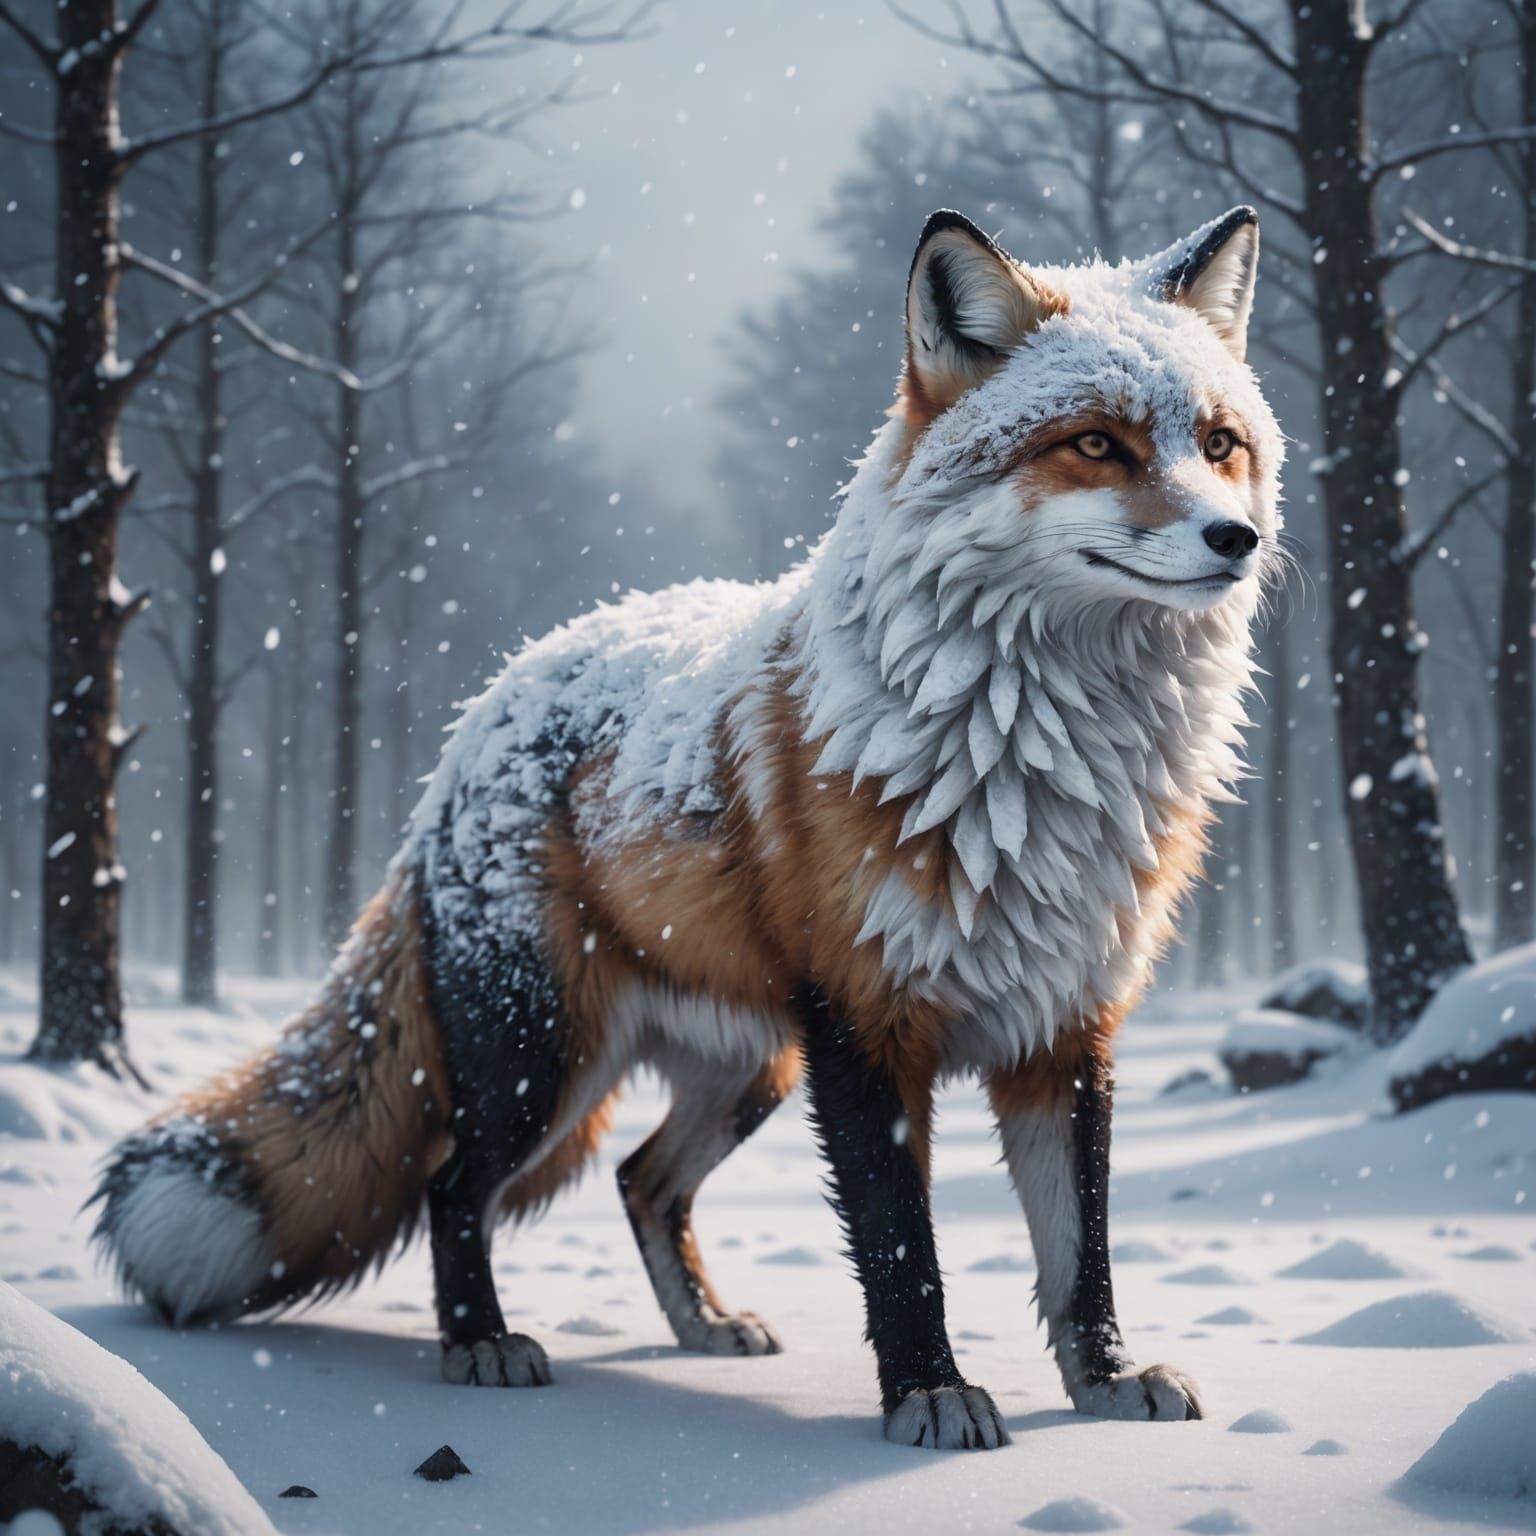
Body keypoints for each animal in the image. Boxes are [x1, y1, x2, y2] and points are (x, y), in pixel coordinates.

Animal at [93, 203, 1279, 1450]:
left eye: (1220, 443)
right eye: (1097, 444)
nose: (1235, 537)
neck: (1031, 770)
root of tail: (472, 726)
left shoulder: (1068, 1029)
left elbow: (1080, 1253)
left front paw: (1106, 1381)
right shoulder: (864, 1032)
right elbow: (903, 1251)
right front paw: (930, 1394)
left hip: (746, 1065)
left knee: (640, 1179)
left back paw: (700, 1326)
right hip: (545, 1060)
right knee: (452, 1183)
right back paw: (479, 1343)